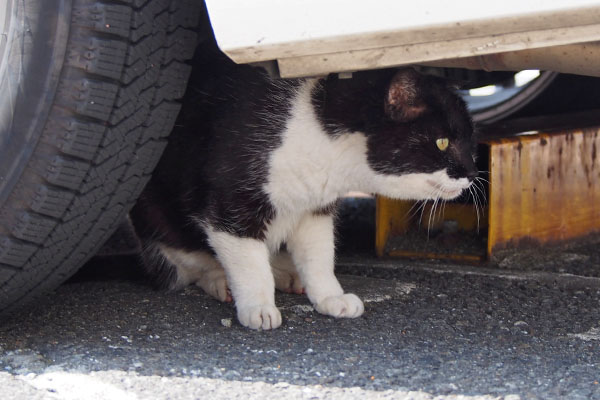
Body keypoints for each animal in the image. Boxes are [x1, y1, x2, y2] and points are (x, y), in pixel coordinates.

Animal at [131, 44, 478, 332]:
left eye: (468, 141)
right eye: (442, 142)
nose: (473, 174)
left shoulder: (315, 209)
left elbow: (319, 256)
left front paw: (329, 297)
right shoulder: (230, 202)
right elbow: (248, 261)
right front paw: (258, 307)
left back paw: (285, 273)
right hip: (154, 215)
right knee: (185, 265)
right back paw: (220, 280)